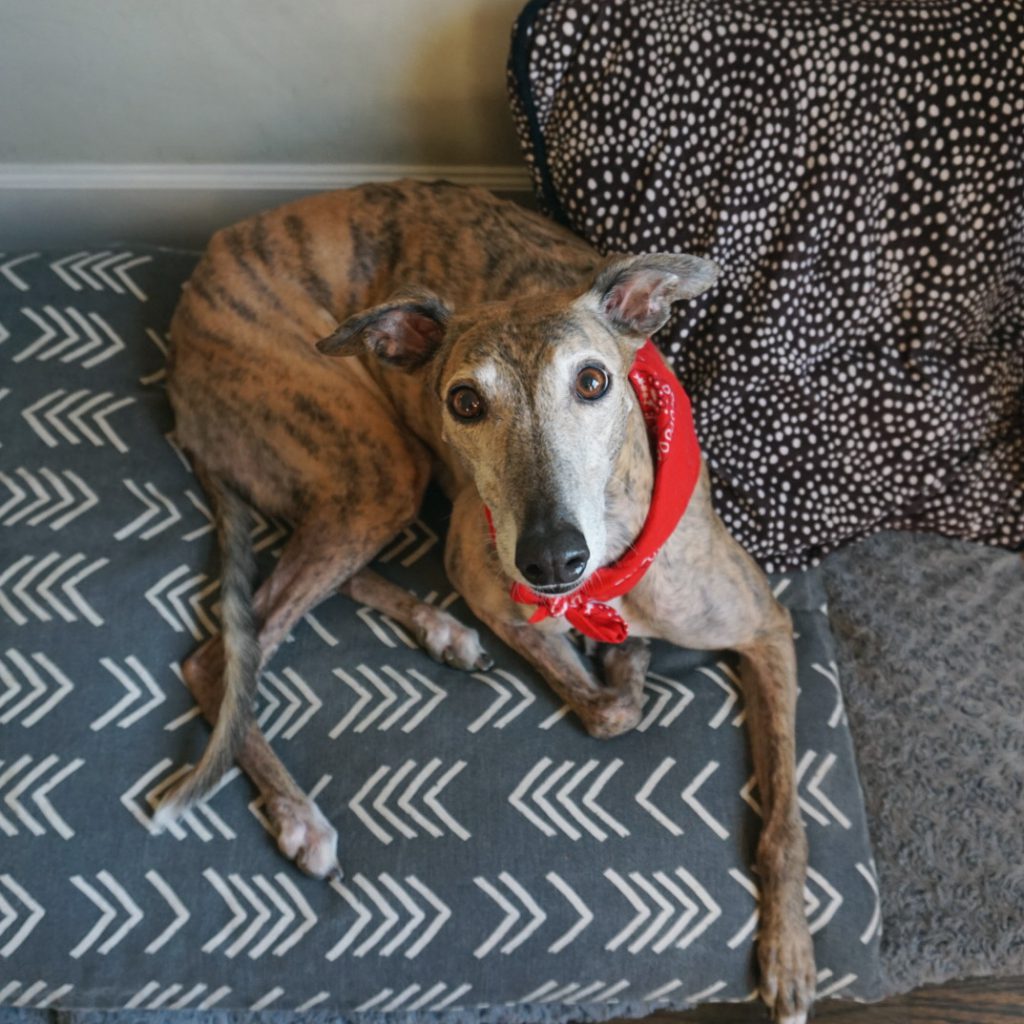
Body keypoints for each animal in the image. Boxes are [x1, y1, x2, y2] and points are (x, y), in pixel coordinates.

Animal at [159, 180, 815, 1019]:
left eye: (593, 381)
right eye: (465, 401)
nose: (551, 558)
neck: (607, 570)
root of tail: (194, 295)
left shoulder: (765, 626)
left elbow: (785, 819)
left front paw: (791, 953)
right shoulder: (476, 567)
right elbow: (609, 710)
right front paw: (621, 662)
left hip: (372, 480)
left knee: (304, 589)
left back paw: (440, 632)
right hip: (367, 456)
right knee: (223, 655)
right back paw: (300, 816)